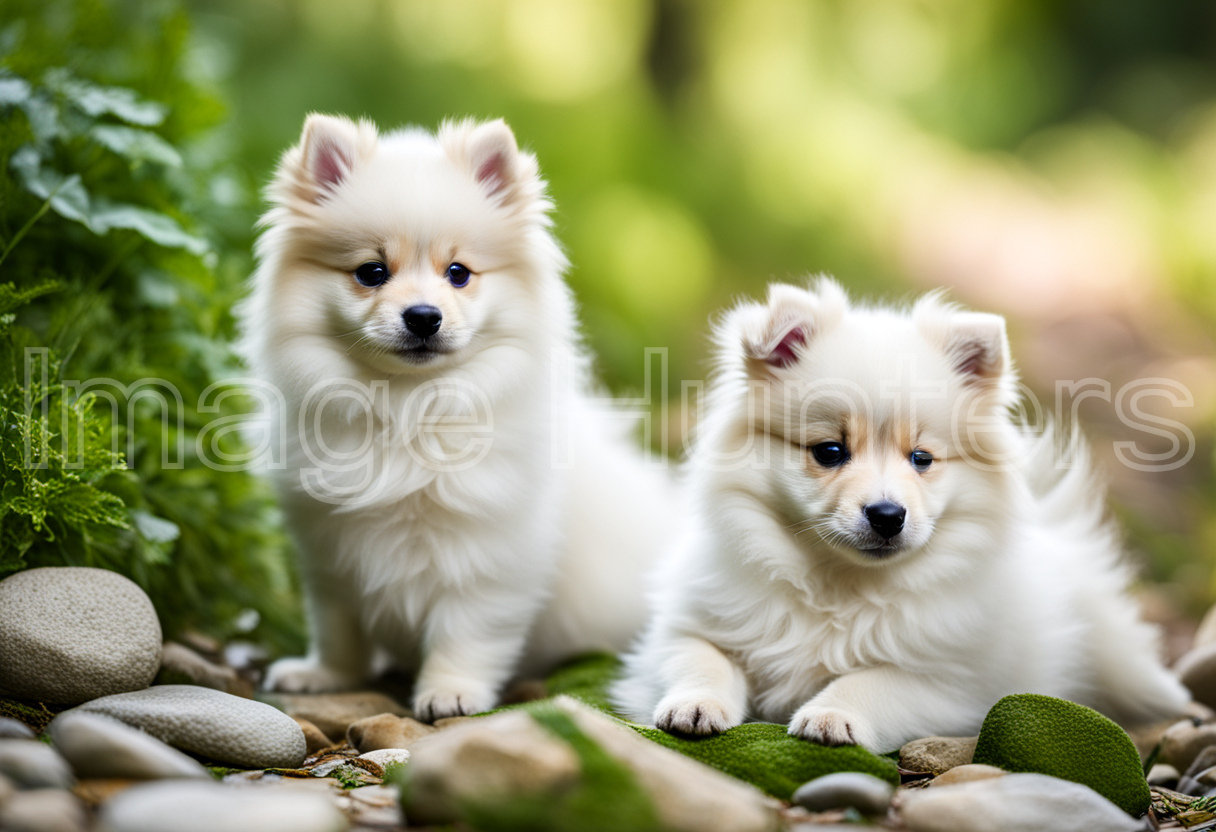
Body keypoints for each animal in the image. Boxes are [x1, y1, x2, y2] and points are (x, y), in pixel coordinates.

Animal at [235, 113, 676, 720]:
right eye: (371, 272)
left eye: (459, 273)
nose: (423, 315)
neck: (408, 406)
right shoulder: (330, 552)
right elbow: (337, 626)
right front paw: (327, 675)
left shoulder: (491, 556)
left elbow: (466, 630)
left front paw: (451, 692)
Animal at [612, 279, 1181, 754]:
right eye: (830, 451)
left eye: (921, 459)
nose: (887, 514)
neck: (840, 586)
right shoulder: (686, 626)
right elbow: (699, 657)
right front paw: (695, 703)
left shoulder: (948, 684)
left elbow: (871, 681)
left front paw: (831, 714)